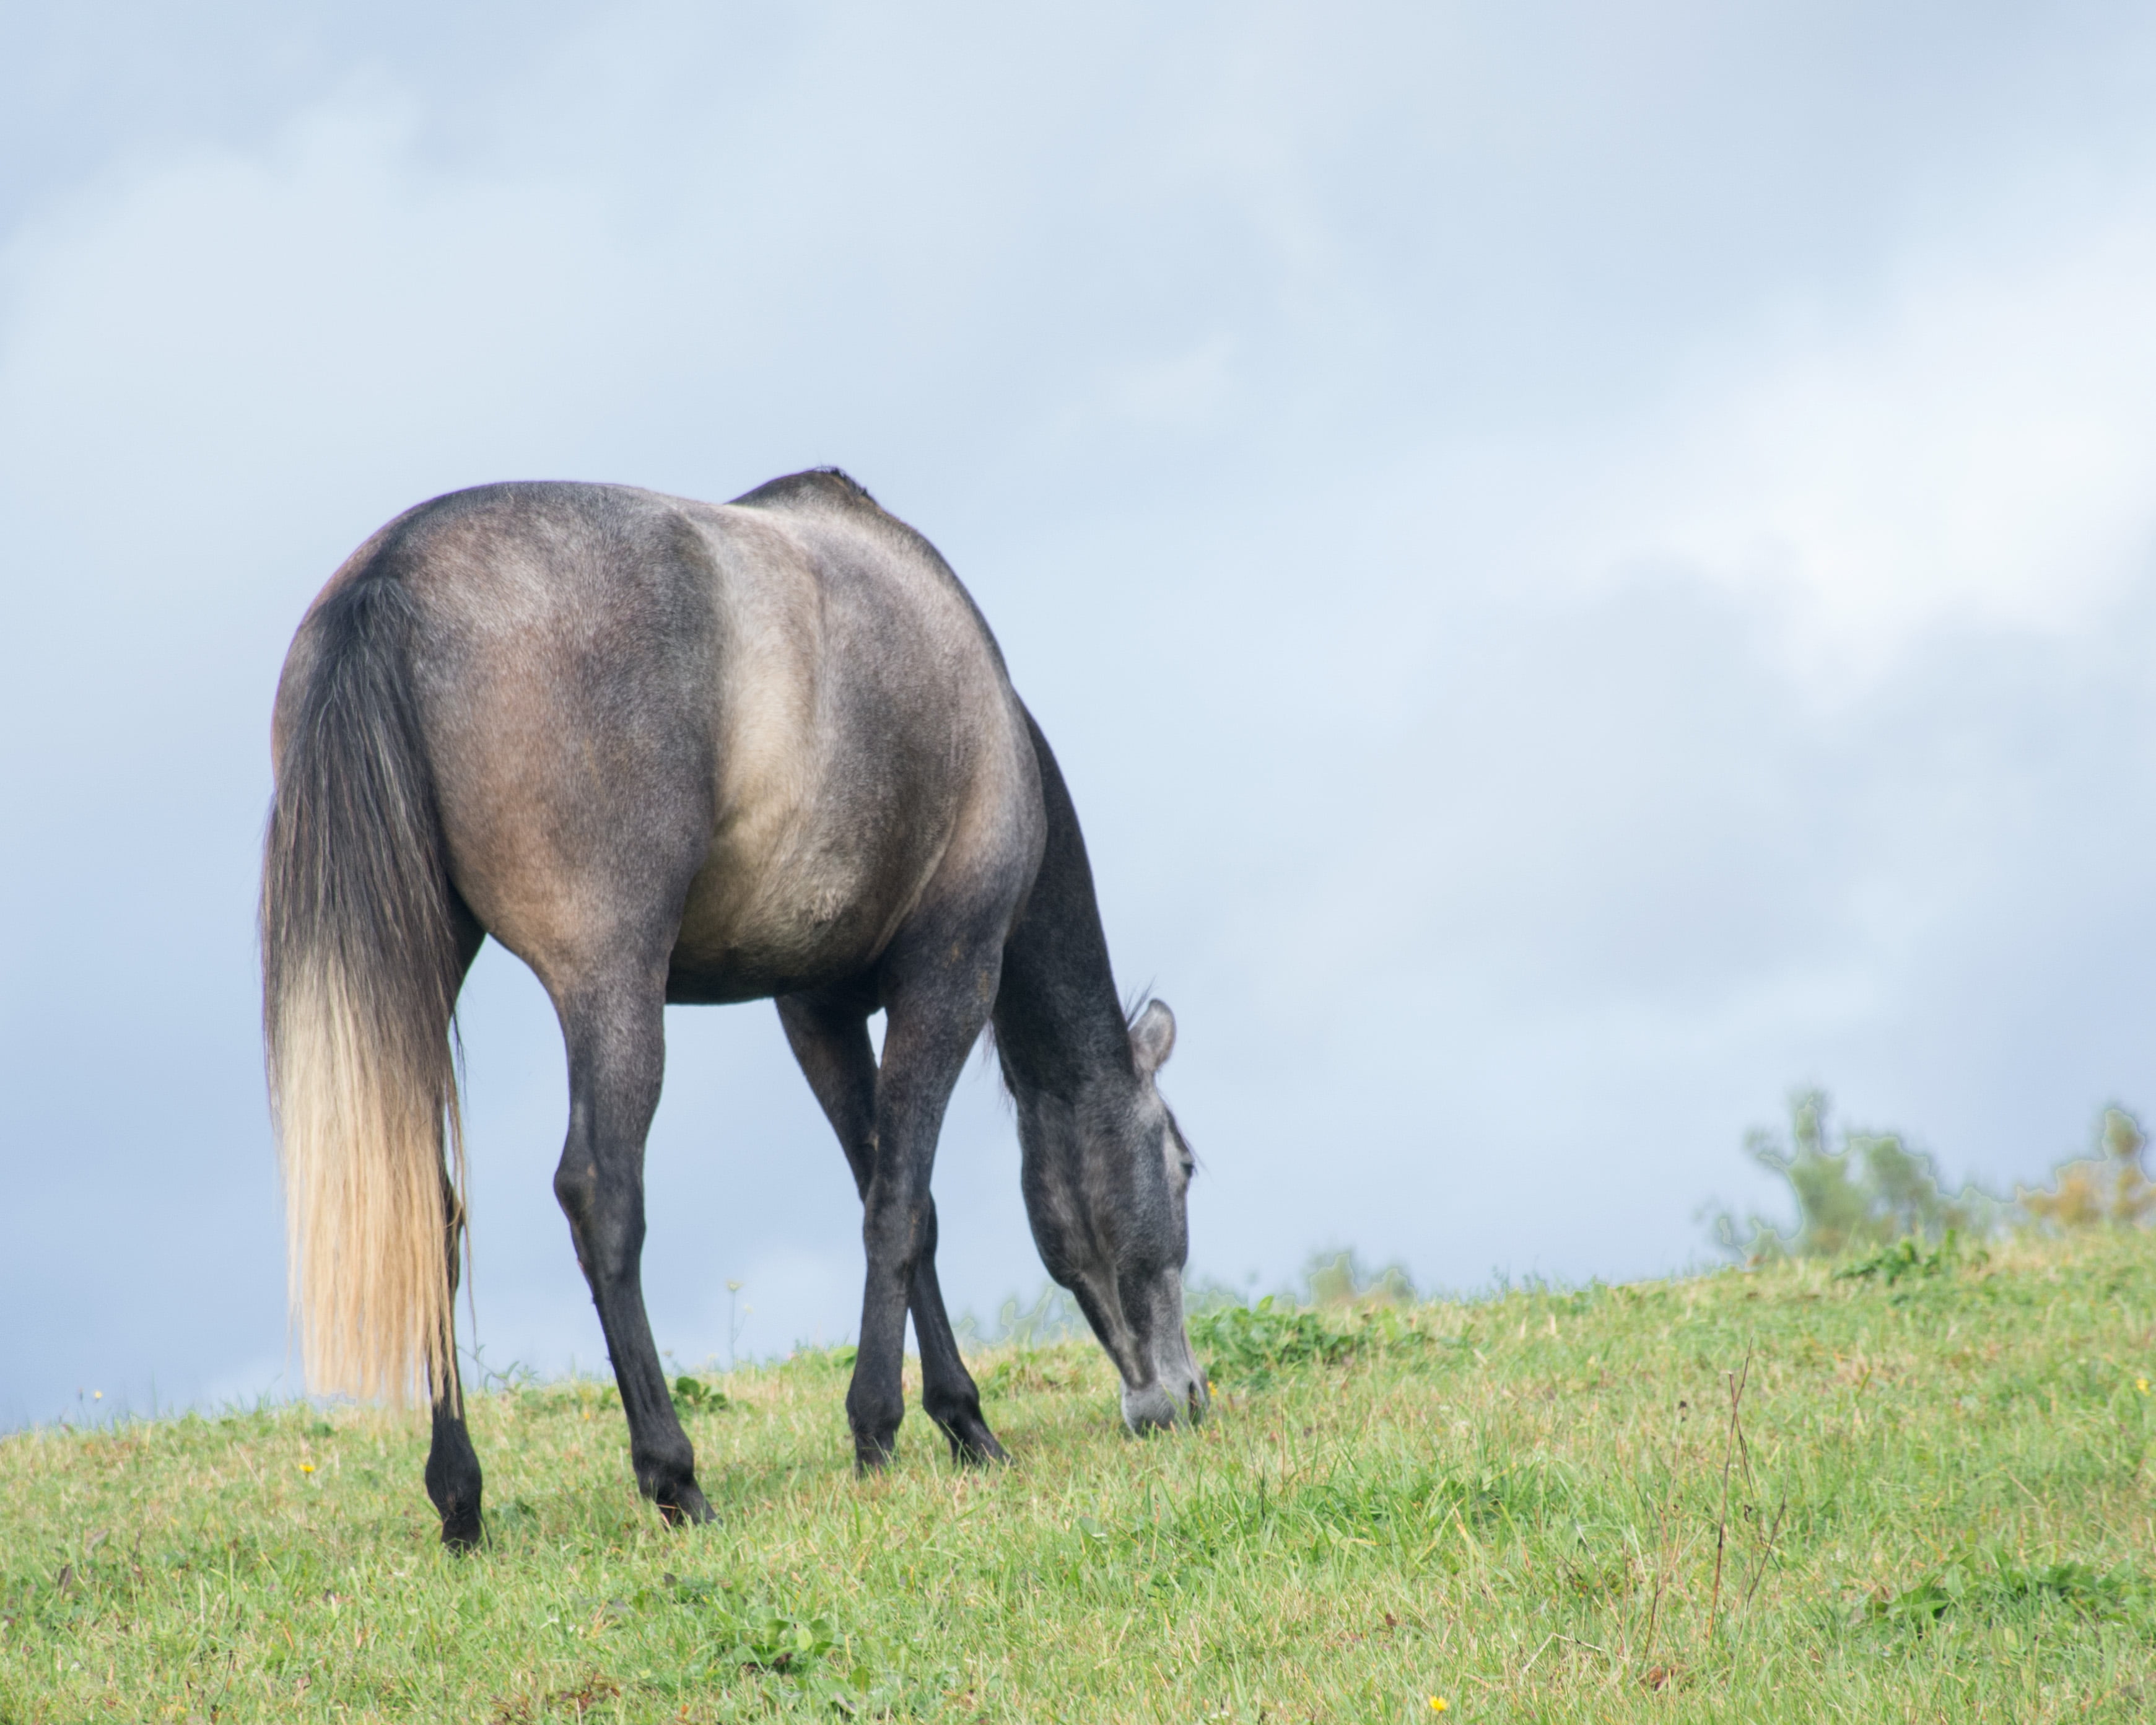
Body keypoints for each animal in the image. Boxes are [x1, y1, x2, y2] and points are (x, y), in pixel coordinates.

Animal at [259, 468, 1206, 1548]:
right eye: (1183, 1166)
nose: (1182, 1397)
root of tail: (391, 575)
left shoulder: (815, 1011)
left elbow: (890, 1195)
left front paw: (954, 1417)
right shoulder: (948, 976)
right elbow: (900, 1206)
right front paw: (892, 1427)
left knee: (430, 1218)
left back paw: (462, 1500)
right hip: (612, 983)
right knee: (602, 1195)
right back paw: (674, 1476)